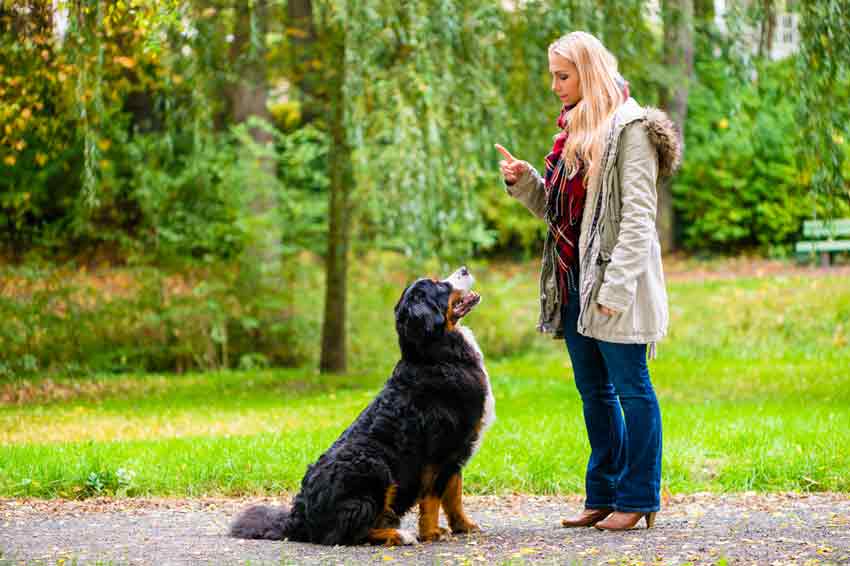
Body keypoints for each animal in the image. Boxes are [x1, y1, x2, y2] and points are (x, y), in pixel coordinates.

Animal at [229, 268, 494, 548]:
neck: (436, 355)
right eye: (439, 285)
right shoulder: (440, 450)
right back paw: (398, 535)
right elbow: (433, 498)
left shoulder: (457, 452)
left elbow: (454, 495)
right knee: (347, 534)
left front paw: (464, 526)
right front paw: (431, 533)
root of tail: (299, 516)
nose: (464, 269)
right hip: (375, 467)